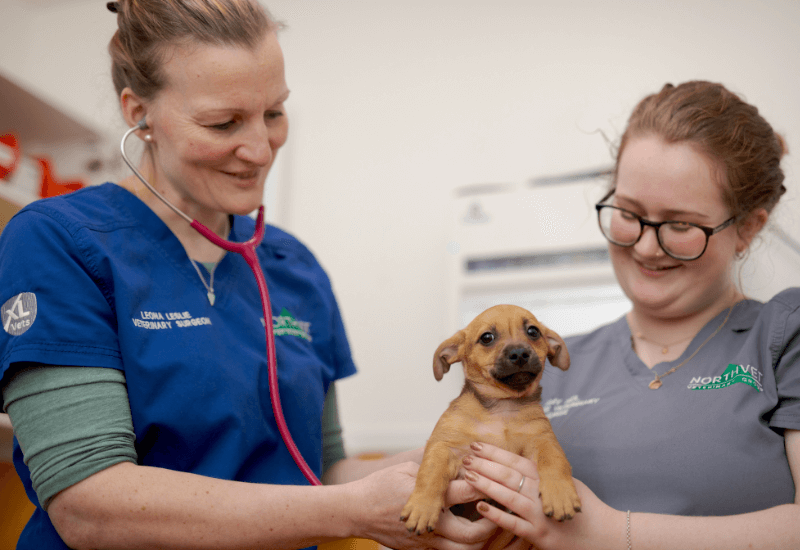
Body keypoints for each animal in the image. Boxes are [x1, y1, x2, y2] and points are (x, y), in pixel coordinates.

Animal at [400, 304, 580, 536]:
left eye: (533, 332)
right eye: (487, 337)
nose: (519, 353)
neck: (503, 407)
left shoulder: (543, 440)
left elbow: (555, 461)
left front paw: (560, 494)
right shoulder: (444, 446)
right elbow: (430, 473)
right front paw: (422, 506)